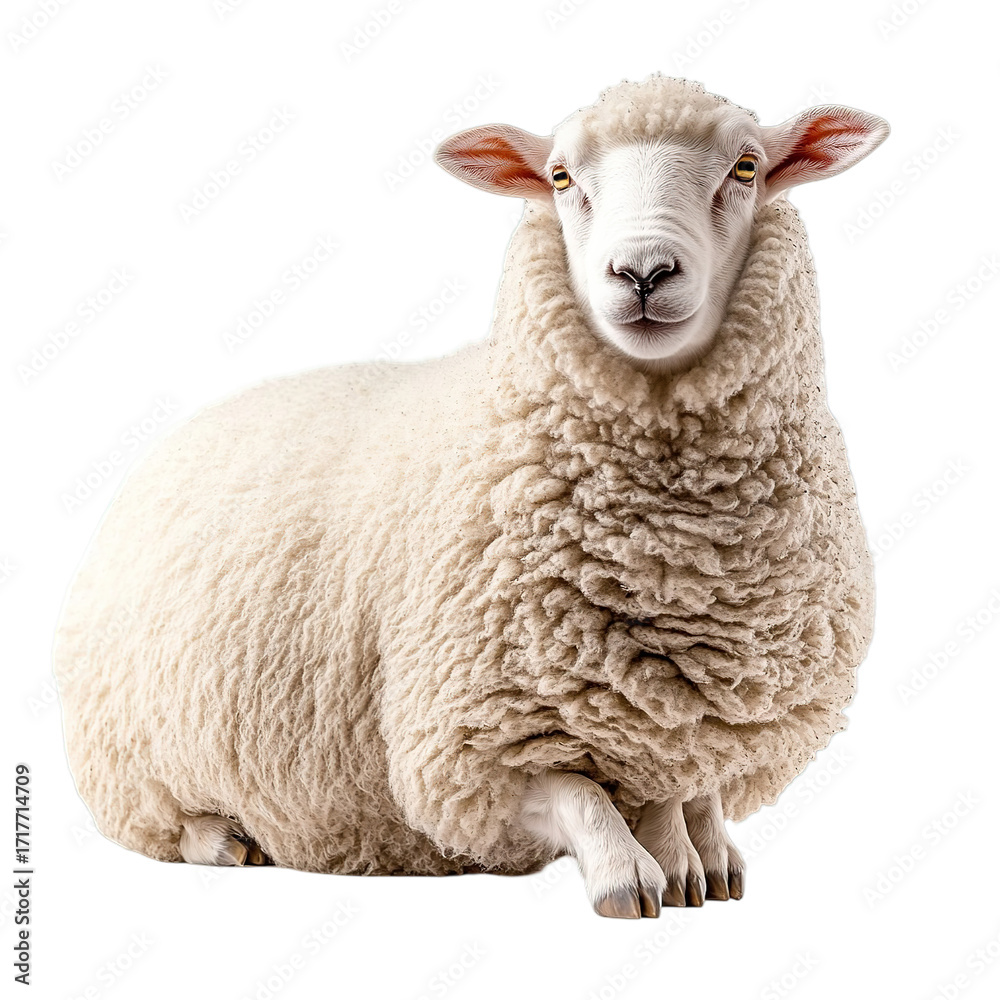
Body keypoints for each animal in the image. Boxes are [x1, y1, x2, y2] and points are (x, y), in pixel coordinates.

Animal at [53, 73, 887, 918]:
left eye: (746, 168)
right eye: (560, 177)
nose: (643, 272)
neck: (671, 554)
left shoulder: (690, 709)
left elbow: (685, 786)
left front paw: (703, 858)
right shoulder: (470, 744)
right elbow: (583, 795)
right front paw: (631, 874)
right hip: (133, 758)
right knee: (160, 823)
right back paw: (221, 841)